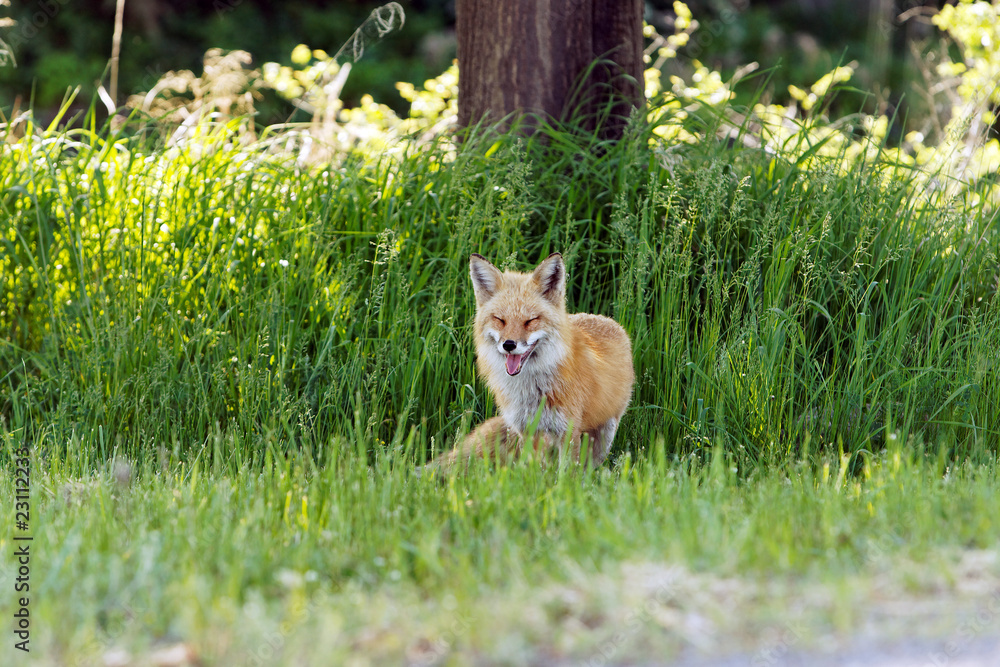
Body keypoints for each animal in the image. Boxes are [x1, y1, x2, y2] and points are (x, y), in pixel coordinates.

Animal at [430, 252, 634, 471]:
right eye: (500, 320)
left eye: (530, 321)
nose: (509, 345)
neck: (530, 388)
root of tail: (608, 320)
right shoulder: (526, 429)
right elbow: (534, 471)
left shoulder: (568, 431)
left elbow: (566, 474)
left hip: (605, 434)